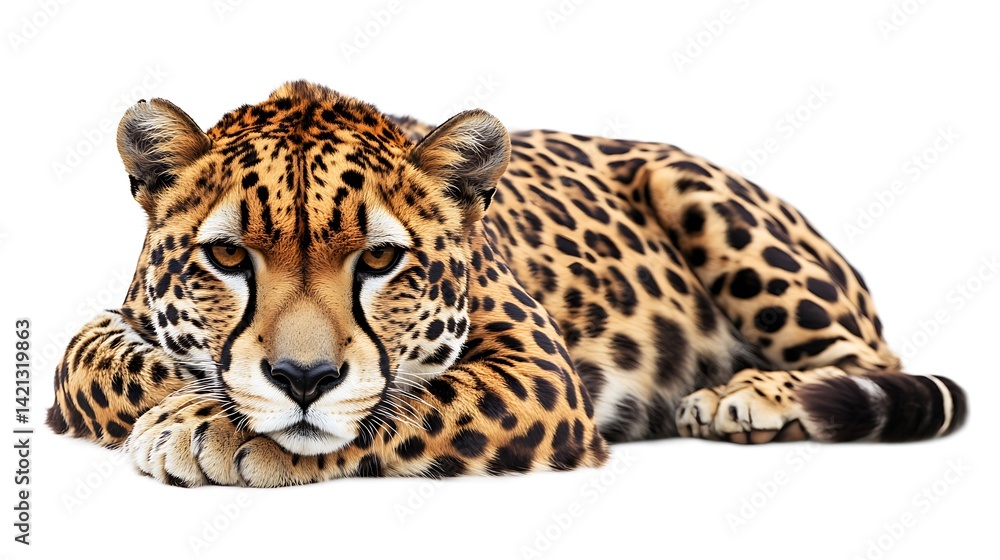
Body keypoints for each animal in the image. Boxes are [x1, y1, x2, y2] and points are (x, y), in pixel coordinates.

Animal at [46, 81, 967, 487]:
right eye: (231, 259)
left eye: (379, 261)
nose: (304, 378)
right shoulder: (110, 324)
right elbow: (90, 358)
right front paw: (195, 400)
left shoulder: (540, 374)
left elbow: (406, 401)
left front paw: (207, 427)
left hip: (699, 194)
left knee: (871, 359)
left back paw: (743, 397)